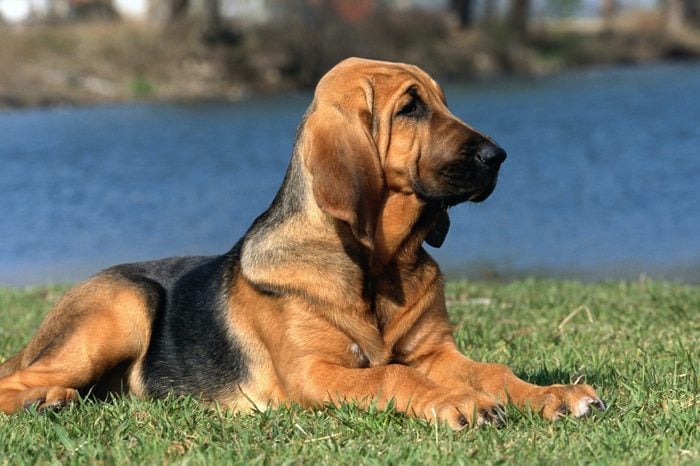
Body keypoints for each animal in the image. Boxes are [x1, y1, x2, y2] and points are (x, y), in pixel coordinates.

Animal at [0, 58, 604, 430]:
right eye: (410, 108)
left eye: (442, 102)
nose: (498, 157)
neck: (377, 265)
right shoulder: (314, 372)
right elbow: (392, 372)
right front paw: (456, 401)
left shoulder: (437, 353)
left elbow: (491, 372)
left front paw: (553, 394)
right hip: (123, 307)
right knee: (20, 378)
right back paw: (41, 400)